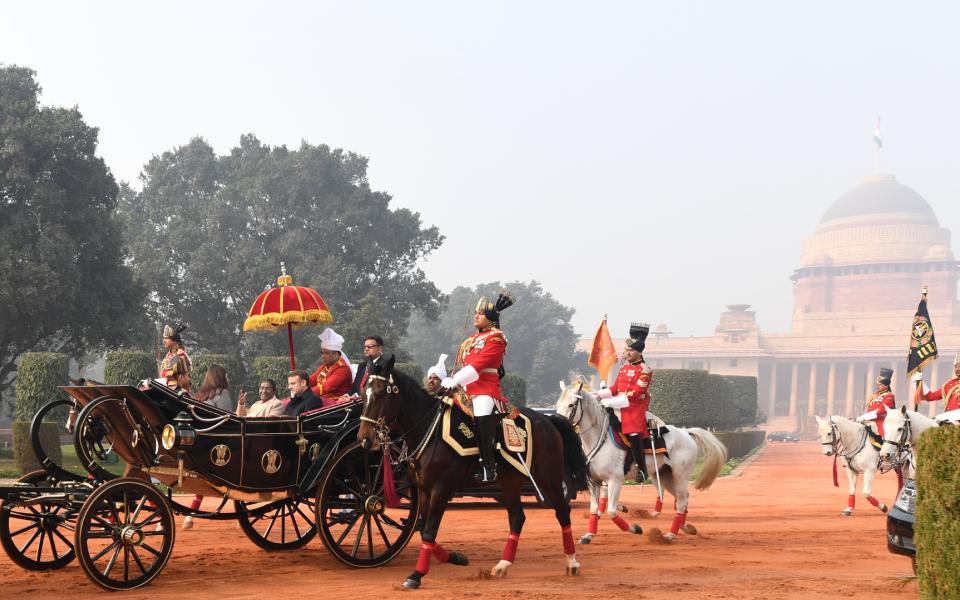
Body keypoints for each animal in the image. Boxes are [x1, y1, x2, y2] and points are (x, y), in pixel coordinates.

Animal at [356, 356, 588, 592]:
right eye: (363, 393)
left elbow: (429, 530)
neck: (430, 432)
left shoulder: (441, 489)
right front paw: (454, 557)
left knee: (562, 511)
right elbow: (423, 528)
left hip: (548, 477)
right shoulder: (422, 489)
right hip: (510, 481)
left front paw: (417, 575)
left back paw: (572, 561)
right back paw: (503, 565)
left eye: (380, 393)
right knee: (517, 518)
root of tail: (548, 419)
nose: (364, 439)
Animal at [556, 380, 728, 544]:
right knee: (683, 498)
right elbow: (595, 509)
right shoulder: (594, 481)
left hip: (680, 476)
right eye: (557, 405)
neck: (599, 439)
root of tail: (686, 432)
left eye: (571, 405)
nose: (559, 425)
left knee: (681, 501)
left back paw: (670, 535)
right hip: (664, 476)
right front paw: (589, 535)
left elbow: (611, 511)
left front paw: (635, 528)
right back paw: (685, 527)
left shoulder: (615, 480)